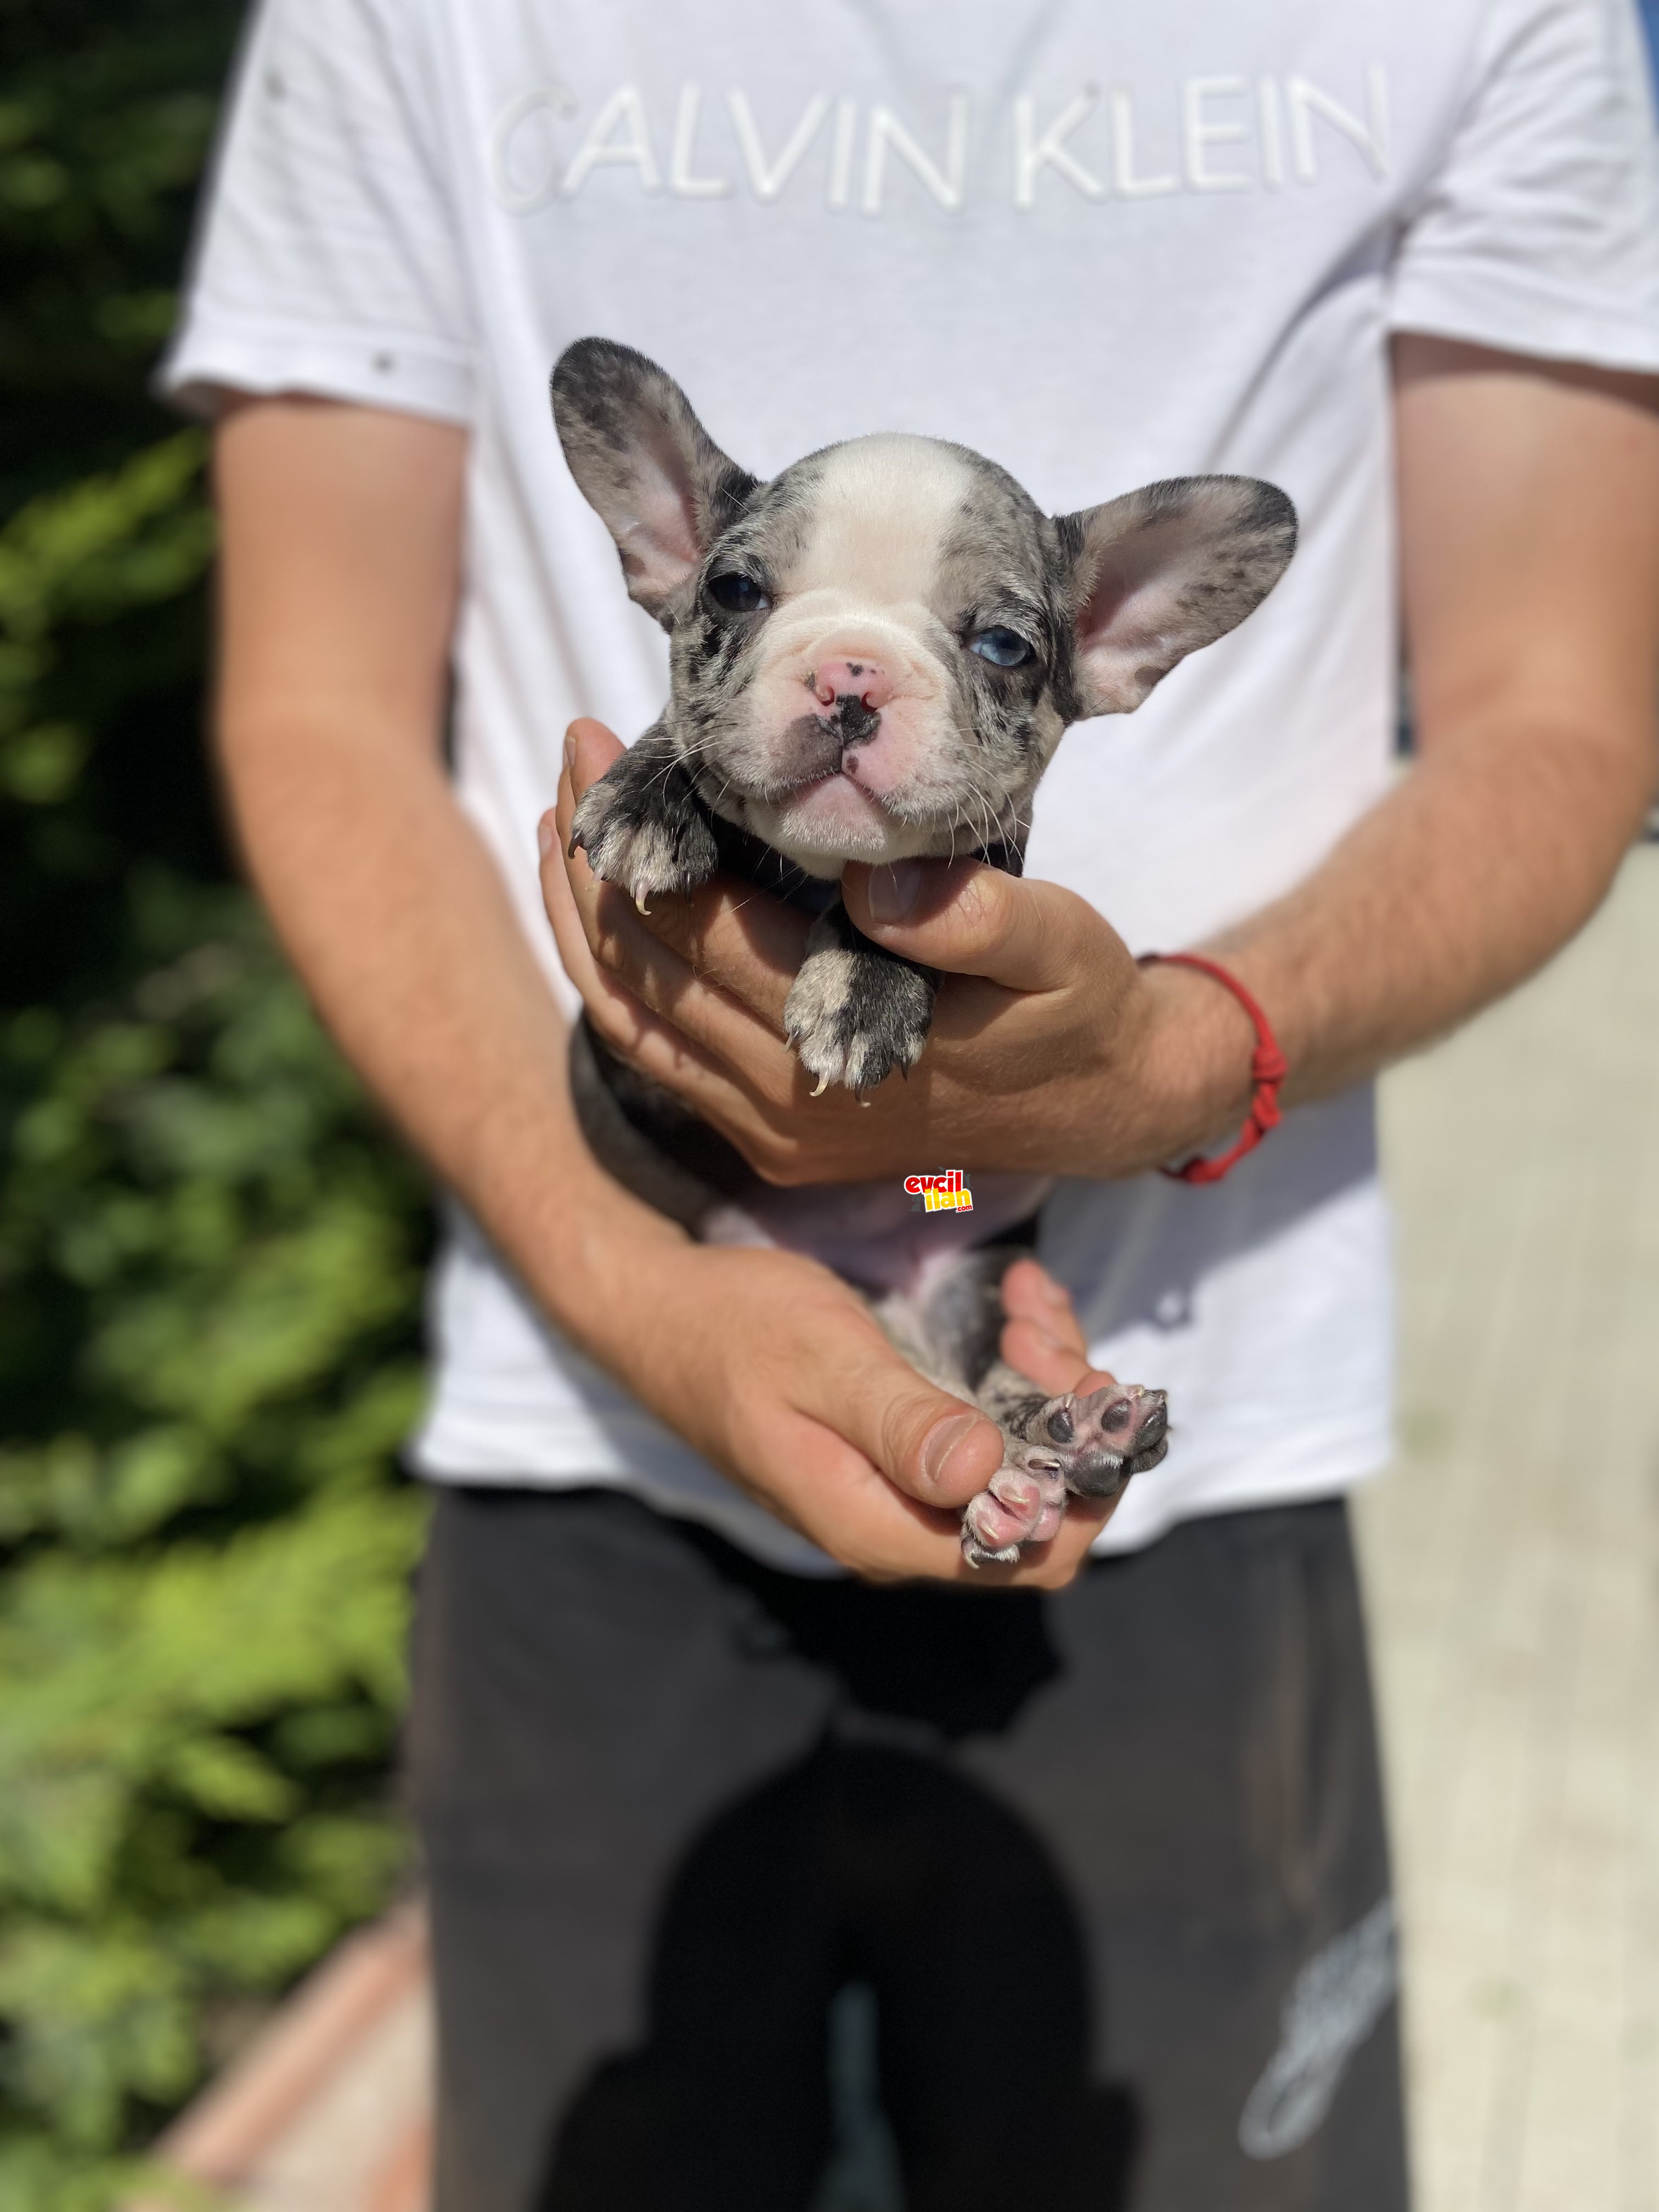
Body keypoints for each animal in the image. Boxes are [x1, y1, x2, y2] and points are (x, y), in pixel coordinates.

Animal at [548, 336, 1300, 1566]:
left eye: (1002, 646)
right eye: (733, 590)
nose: (851, 676)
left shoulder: (989, 867)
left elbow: (908, 889)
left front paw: (865, 984)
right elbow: (691, 748)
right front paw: (655, 796)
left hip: (972, 1280)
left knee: (978, 1378)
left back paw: (1064, 1434)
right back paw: (1022, 1465)